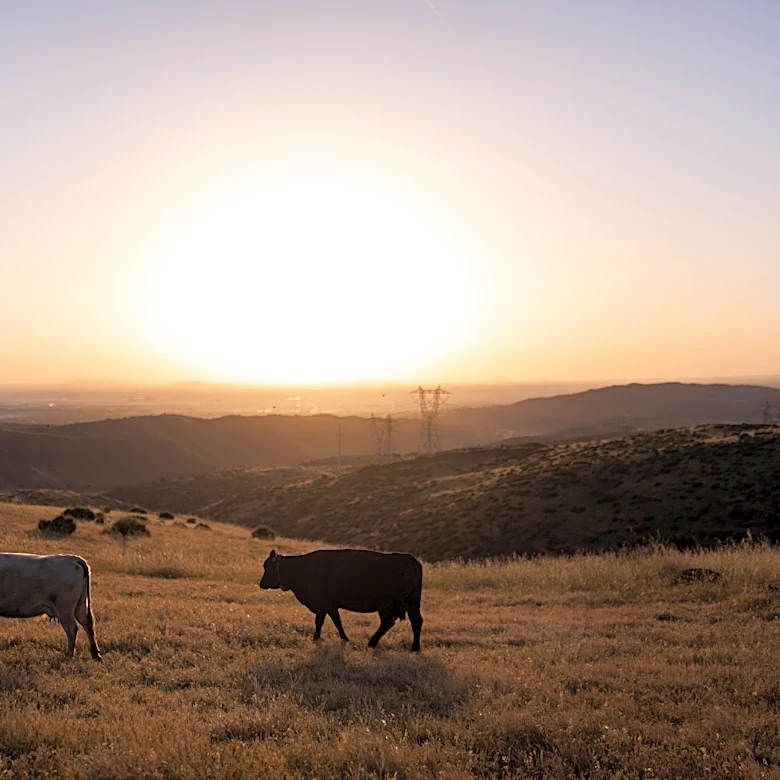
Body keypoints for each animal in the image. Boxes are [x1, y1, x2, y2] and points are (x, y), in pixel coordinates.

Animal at [259, 549, 423, 651]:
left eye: (268, 567)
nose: (261, 584)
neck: (302, 568)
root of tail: (412, 562)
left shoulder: (329, 605)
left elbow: (337, 622)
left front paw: (345, 638)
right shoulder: (322, 607)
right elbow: (319, 622)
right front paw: (316, 638)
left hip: (387, 606)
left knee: (389, 622)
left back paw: (372, 642)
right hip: (412, 605)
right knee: (415, 621)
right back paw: (414, 648)